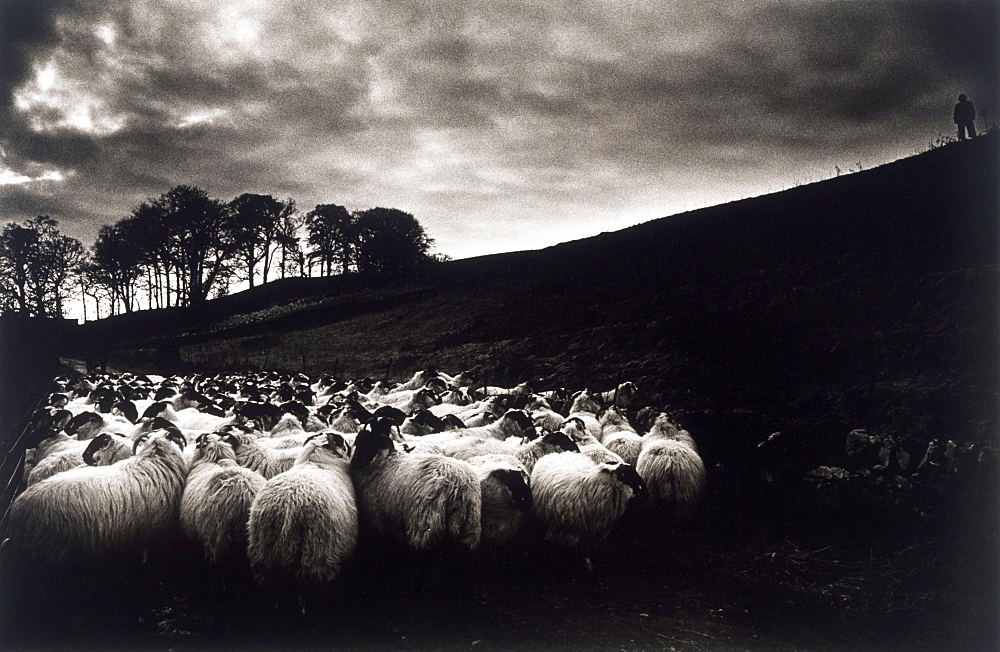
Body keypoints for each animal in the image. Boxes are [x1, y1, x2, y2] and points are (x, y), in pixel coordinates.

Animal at [352, 418, 480, 552]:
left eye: (371, 445)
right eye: (359, 443)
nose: (356, 461)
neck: (382, 462)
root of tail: (457, 488)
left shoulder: (377, 521)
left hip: (425, 531)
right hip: (469, 532)